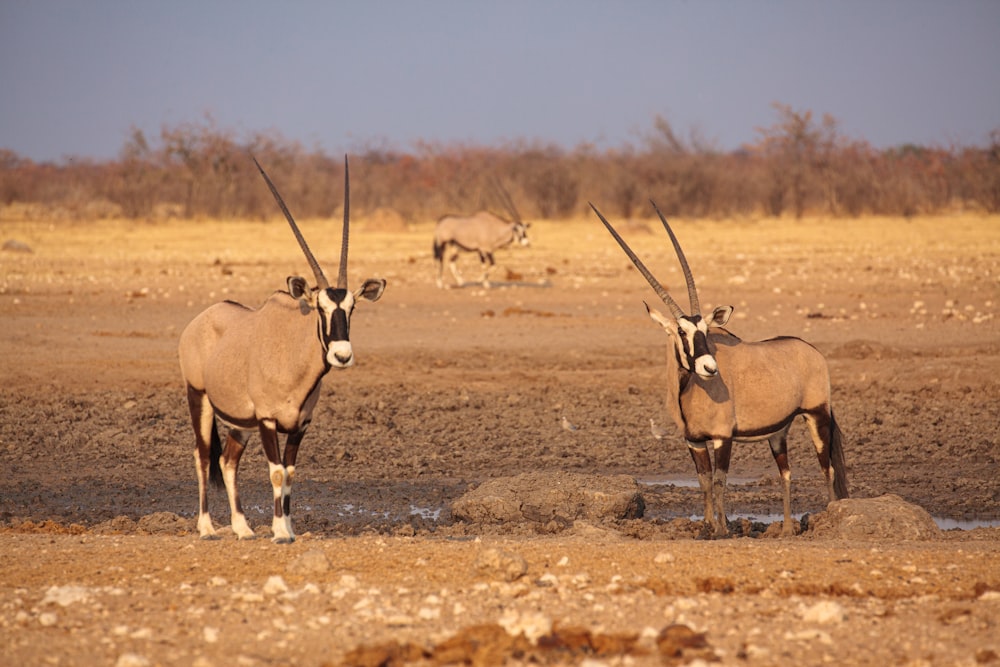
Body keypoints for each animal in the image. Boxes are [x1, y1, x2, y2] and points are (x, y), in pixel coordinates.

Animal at [178, 157, 384, 544]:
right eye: (320, 308)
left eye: (351, 308)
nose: (342, 355)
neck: (292, 356)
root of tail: (199, 320)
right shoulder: (268, 420)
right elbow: (275, 472)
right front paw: (279, 532)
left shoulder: (300, 424)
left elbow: (289, 473)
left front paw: (287, 527)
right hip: (200, 398)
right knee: (202, 456)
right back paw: (207, 527)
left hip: (239, 422)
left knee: (228, 461)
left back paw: (242, 528)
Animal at [588, 202, 848, 536]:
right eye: (682, 332)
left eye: (705, 331)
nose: (709, 367)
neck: (688, 391)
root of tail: (812, 350)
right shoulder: (695, 441)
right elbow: (704, 482)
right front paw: (708, 526)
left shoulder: (724, 437)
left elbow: (720, 481)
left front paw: (723, 529)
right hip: (779, 431)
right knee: (786, 472)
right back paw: (787, 528)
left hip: (817, 416)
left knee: (827, 467)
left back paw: (828, 516)